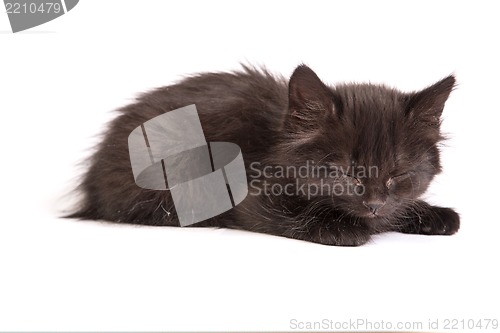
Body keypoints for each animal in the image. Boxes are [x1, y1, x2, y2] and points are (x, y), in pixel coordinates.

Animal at [67, 65, 460, 246]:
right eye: (346, 172)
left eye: (398, 172)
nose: (375, 204)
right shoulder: (250, 195)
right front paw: (346, 228)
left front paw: (434, 215)